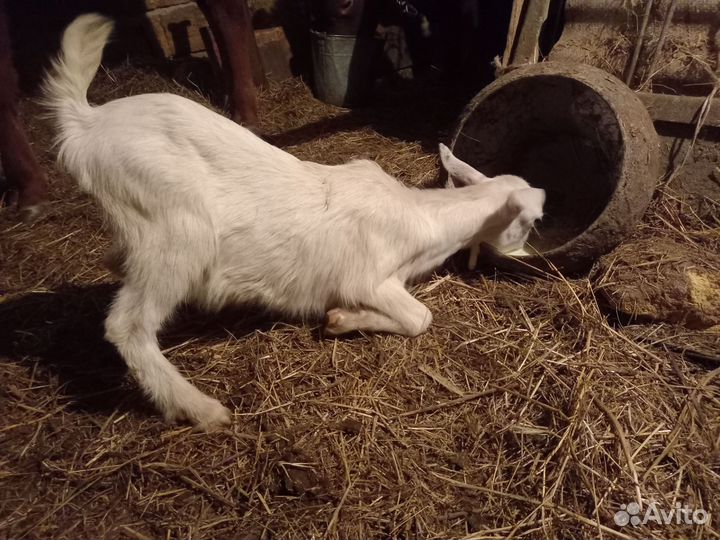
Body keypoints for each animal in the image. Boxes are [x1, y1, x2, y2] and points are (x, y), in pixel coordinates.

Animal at [44, 14, 545, 431]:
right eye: (532, 220)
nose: (524, 250)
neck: (421, 217)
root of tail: (84, 123)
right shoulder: (368, 277)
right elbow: (420, 317)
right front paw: (342, 319)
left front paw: (341, 320)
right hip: (176, 233)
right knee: (127, 325)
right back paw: (199, 408)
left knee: (117, 263)